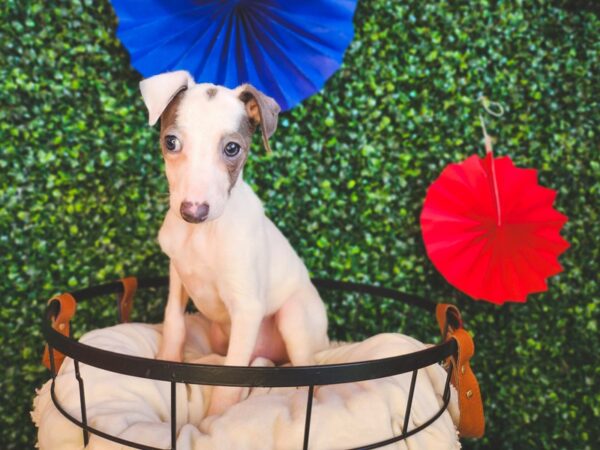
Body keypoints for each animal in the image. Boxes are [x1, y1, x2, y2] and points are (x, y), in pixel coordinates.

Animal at [139, 69, 330, 414]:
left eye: (231, 148)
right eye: (171, 142)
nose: (193, 211)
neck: (201, 235)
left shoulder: (247, 307)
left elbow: (231, 374)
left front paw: (216, 418)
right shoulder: (177, 273)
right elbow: (173, 320)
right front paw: (166, 360)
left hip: (295, 316)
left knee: (306, 370)